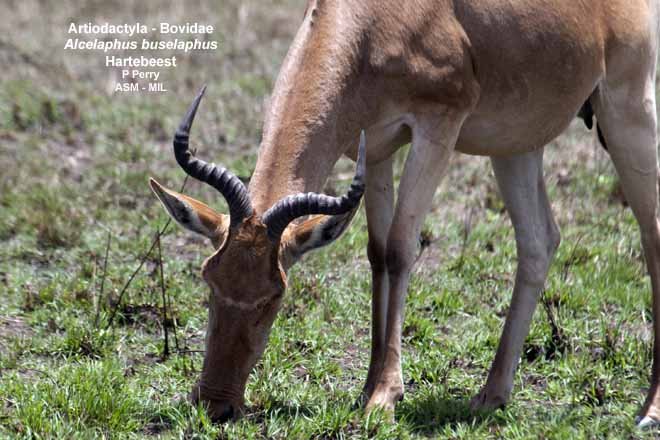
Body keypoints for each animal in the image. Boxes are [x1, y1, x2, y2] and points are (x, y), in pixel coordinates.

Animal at [149, 0, 660, 428]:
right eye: (209, 280)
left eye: (274, 297)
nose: (215, 404)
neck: (376, 19)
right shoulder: (374, 149)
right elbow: (377, 255)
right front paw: (367, 387)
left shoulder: (437, 127)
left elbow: (399, 249)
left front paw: (384, 396)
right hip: (517, 141)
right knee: (539, 241)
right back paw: (491, 396)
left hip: (628, 109)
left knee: (650, 235)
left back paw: (648, 411)